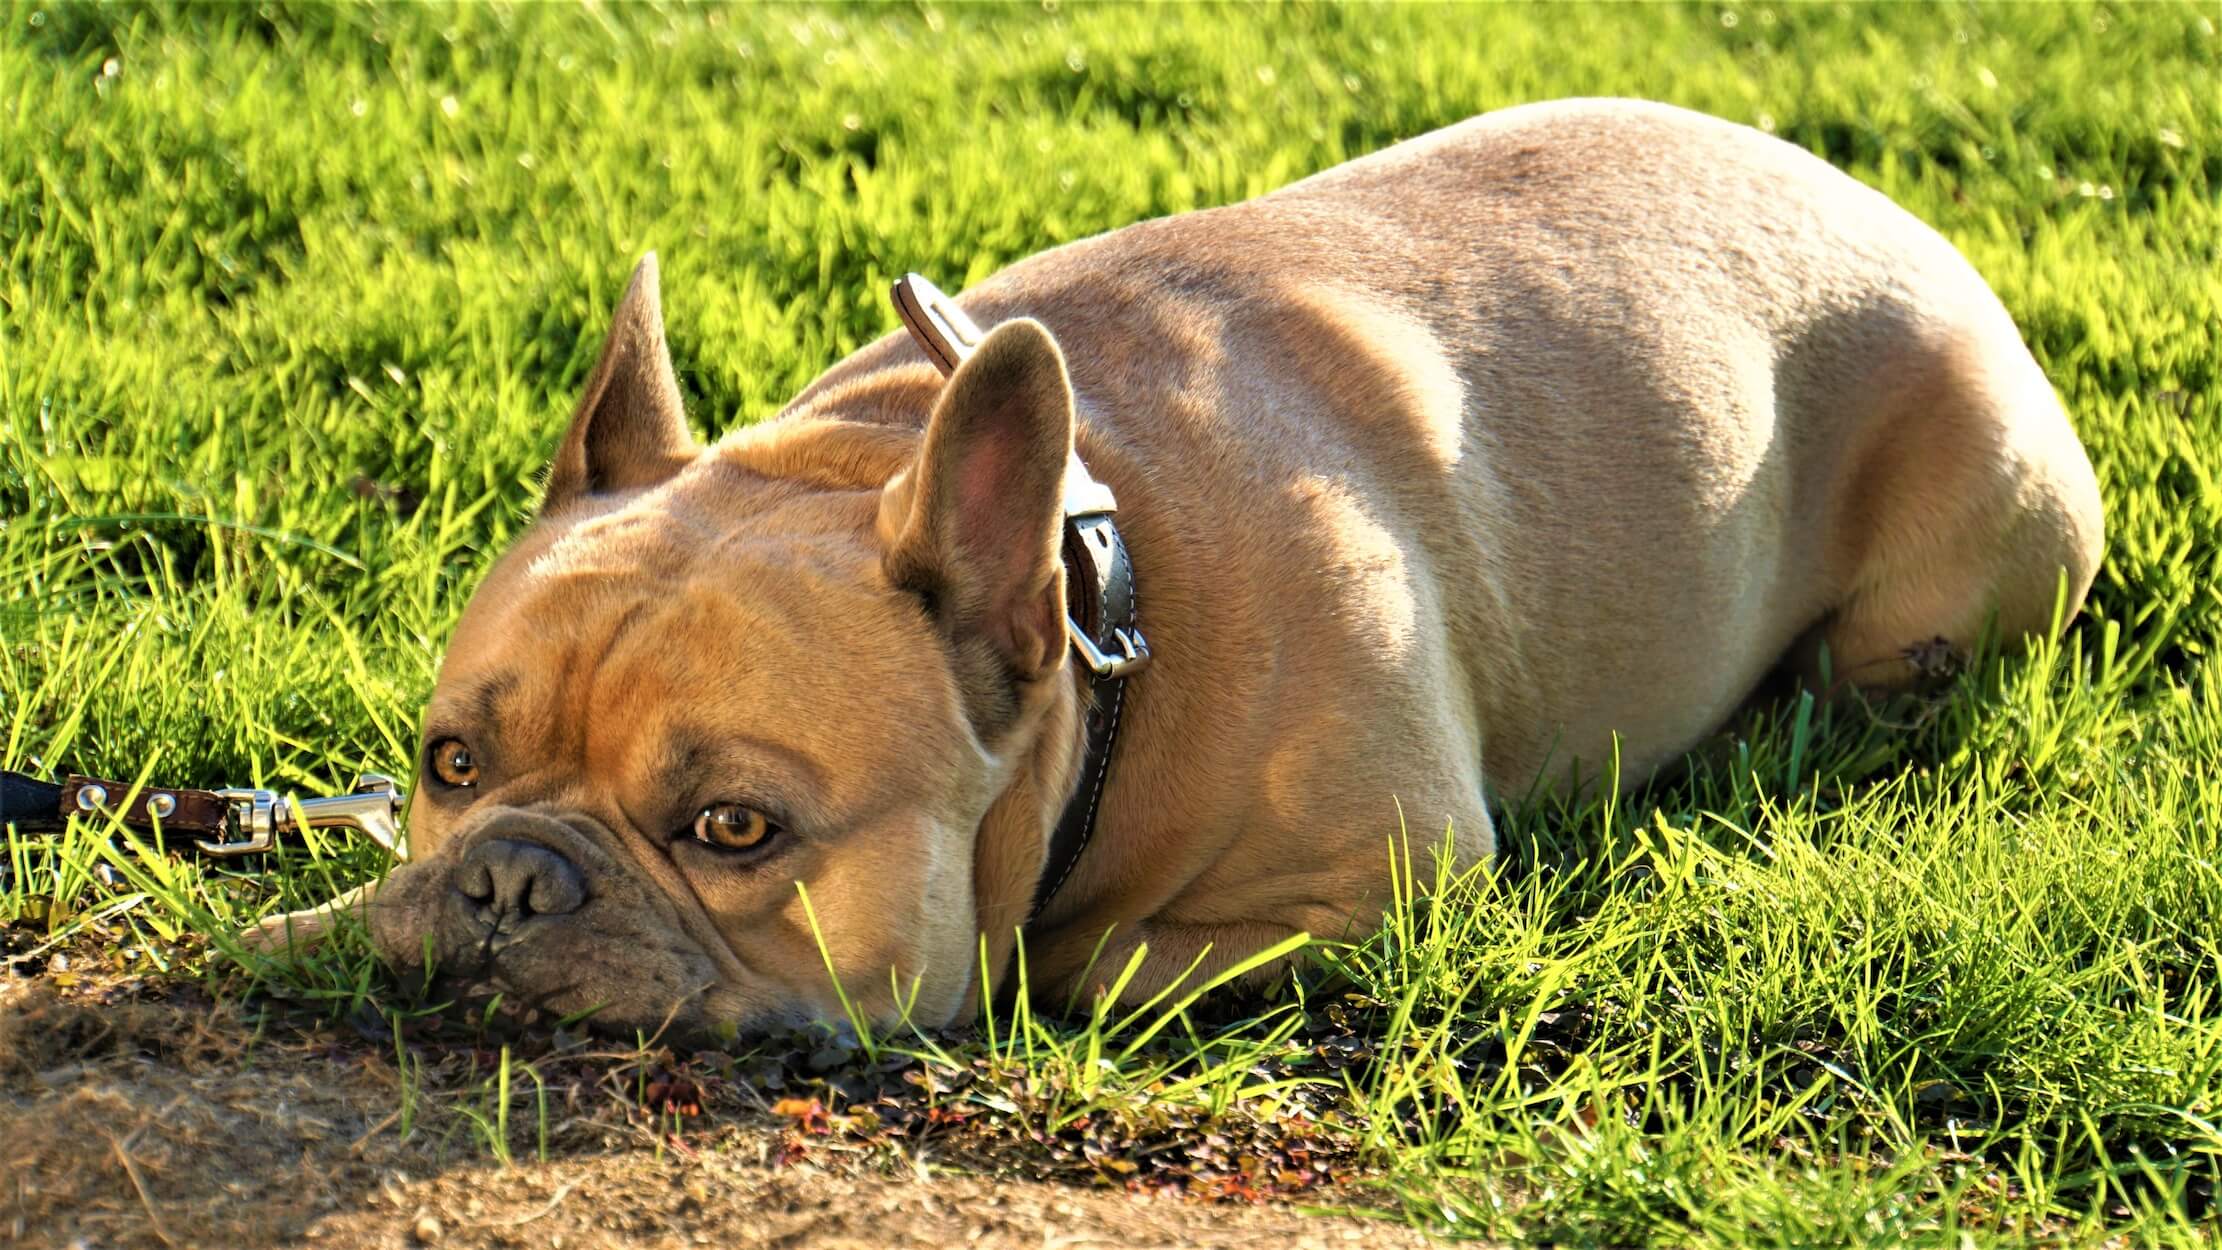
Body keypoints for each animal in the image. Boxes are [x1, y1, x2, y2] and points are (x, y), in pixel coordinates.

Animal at [252, 97, 2106, 1043]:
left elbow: (1075, 958)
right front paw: (330, 903)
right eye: (449, 762)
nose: (509, 879)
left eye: (733, 831)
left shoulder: (1389, 884)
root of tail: (1881, 207)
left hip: (1945, 579)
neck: (1103, 597)